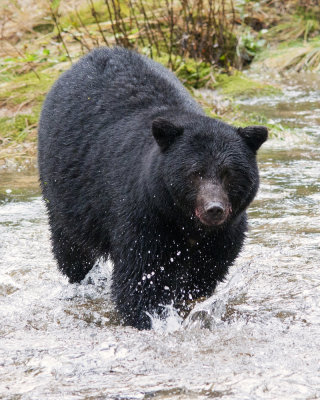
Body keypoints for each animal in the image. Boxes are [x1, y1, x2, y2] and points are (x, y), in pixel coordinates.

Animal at [38, 47, 268, 328]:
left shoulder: (224, 235)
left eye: (229, 174)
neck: (185, 223)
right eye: (196, 173)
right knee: (71, 247)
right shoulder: (144, 216)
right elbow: (141, 276)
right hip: (64, 191)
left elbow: (203, 275)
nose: (214, 209)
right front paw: (150, 318)